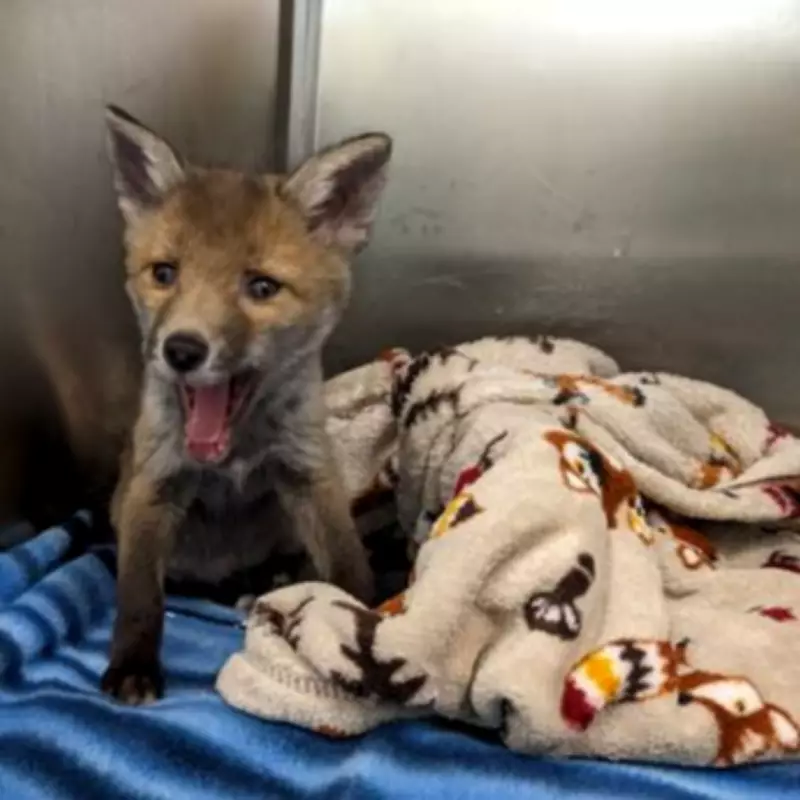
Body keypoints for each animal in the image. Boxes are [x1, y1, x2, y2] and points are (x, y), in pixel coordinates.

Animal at [100, 105, 391, 704]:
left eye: (261, 287)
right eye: (165, 274)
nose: (182, 349)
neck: (231, 456)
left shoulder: (309, 473)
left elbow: (347, 559)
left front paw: (362, 615)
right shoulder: (153, 486)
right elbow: (139, 595)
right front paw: (133, 664)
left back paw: (267, 584)